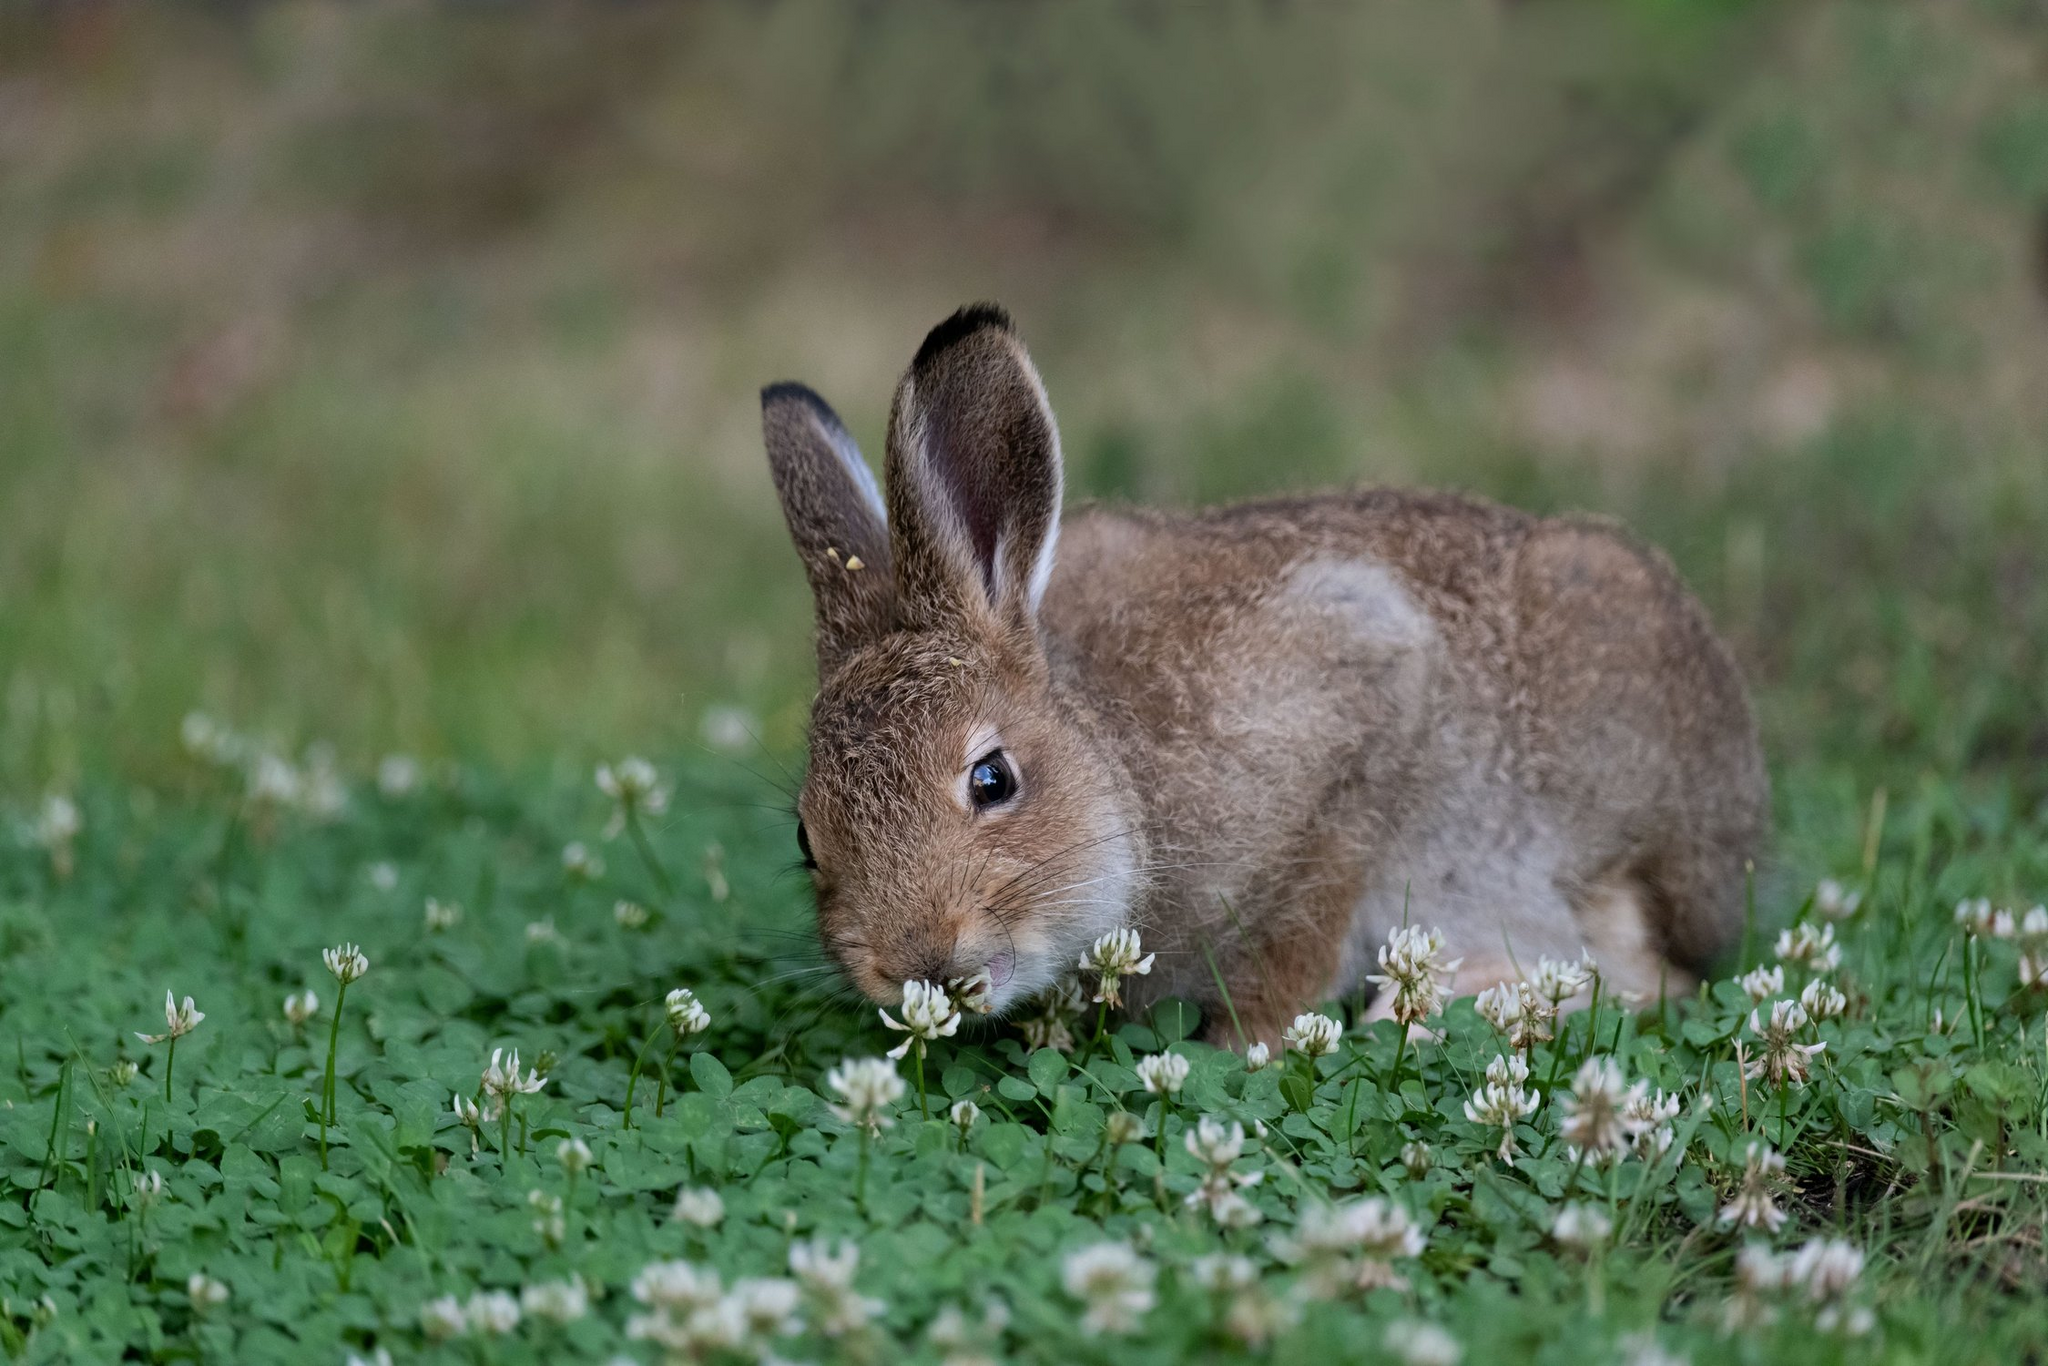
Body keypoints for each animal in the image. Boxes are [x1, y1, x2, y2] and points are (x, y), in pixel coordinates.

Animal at [761, 307, 1769, 1048]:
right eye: (807, 839)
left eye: (992, 779)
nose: (918, 964)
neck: (1120, 769)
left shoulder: (1359, 706)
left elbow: (1296, 944)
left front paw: (1250, 1044)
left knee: (1648, 977)